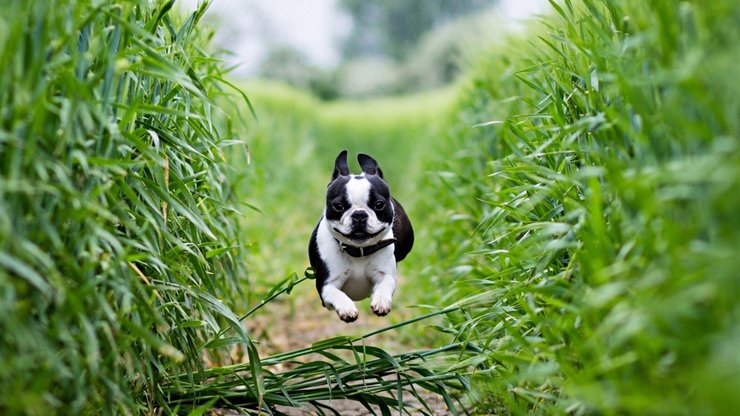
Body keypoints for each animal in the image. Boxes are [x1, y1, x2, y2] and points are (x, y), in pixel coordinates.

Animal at [304, 150, 414, 322]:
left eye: (379, 204)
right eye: (339, 206)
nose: (359, 214)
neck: (358, 251)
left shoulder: (384, 274)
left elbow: (385, 284)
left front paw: (381, 301)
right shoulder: (325, 285)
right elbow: (337, 293)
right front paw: (346, 308)